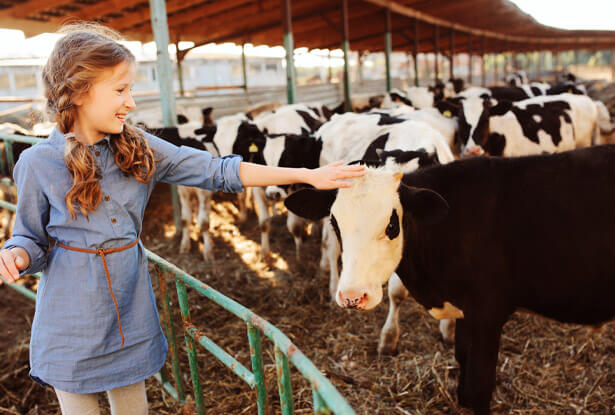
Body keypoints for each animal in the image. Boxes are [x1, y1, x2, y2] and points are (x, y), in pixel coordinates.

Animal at [286, 145, 615, 414]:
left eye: (392, 224)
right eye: (334, 221)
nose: (353, 296)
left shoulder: (488, 313)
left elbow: (480, 384)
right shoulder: (466, 312)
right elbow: (461, 357)